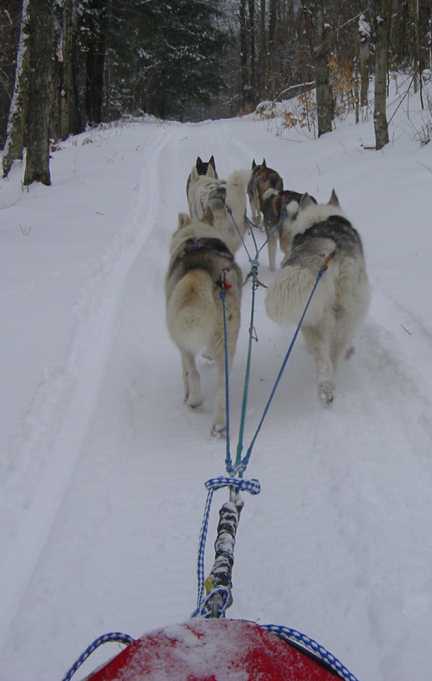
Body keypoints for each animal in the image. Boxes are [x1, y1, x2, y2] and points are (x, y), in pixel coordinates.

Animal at [165, 212, 243, 436]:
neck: (195, 235)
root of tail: (202, 271)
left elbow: (185, 372)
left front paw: (186, 395)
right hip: (226, 341)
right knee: (222, 388)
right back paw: (220, 424)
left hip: (183, 342)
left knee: (193, 372)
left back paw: (194, 401)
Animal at [264, 191, 370, 404]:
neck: (320, 217)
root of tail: (332, 249)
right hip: (341, 316)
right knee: (331, 355)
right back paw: (328, 384)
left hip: (317, 318)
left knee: (324, 357)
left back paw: (325, 387)